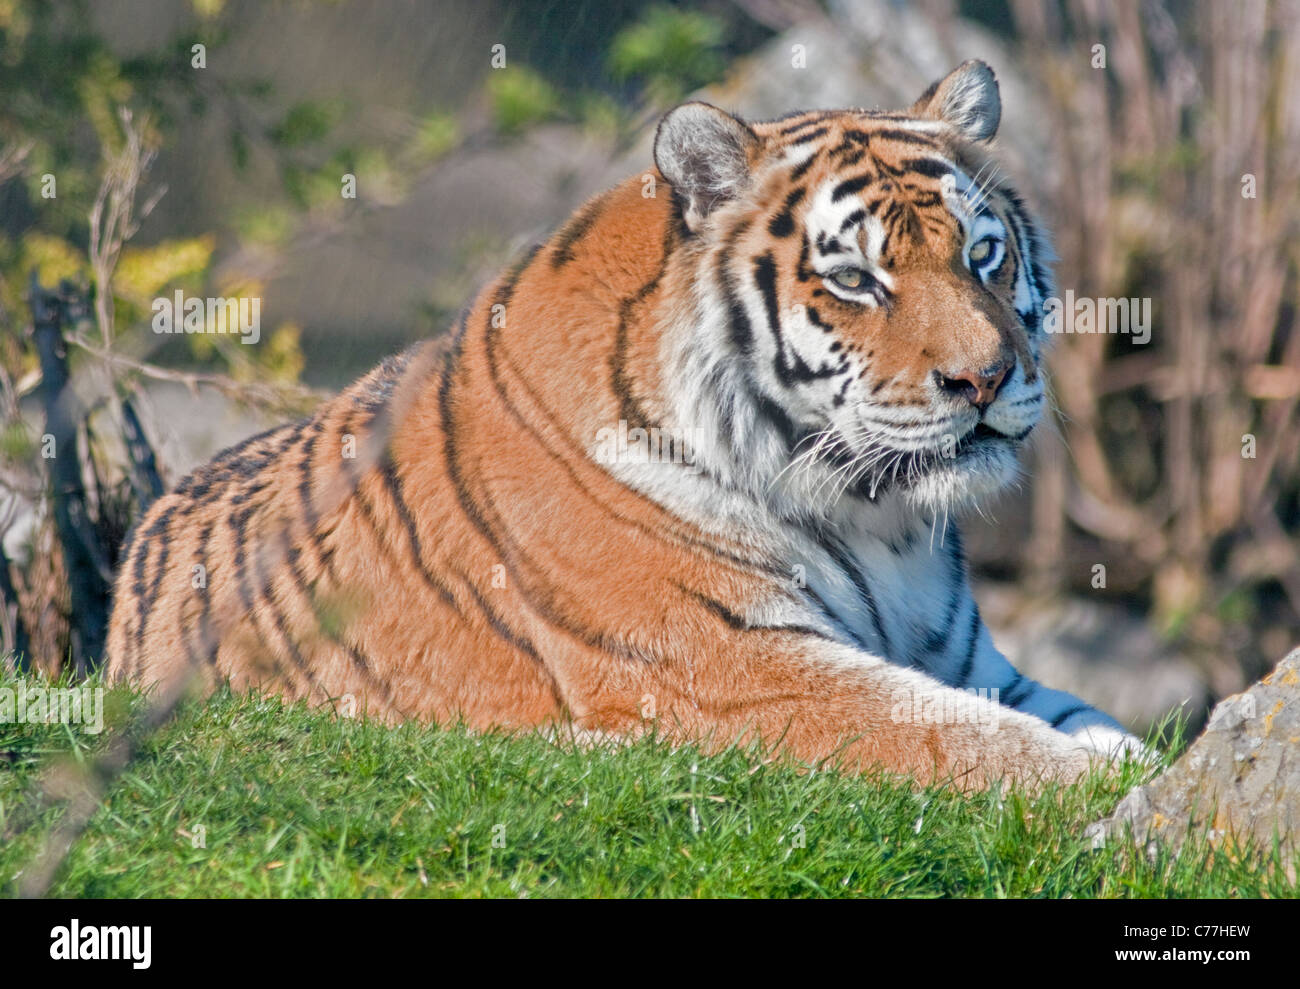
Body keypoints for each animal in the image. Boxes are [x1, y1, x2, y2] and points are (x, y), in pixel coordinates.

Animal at [114, 59, 1149, 784]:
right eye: (855, 278)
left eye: (982, 255)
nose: (984, 379)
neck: (879, 519)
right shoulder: (736, 668)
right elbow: (971, 742)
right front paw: (1126, 814)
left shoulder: (979, 661)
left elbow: (1094, 726)